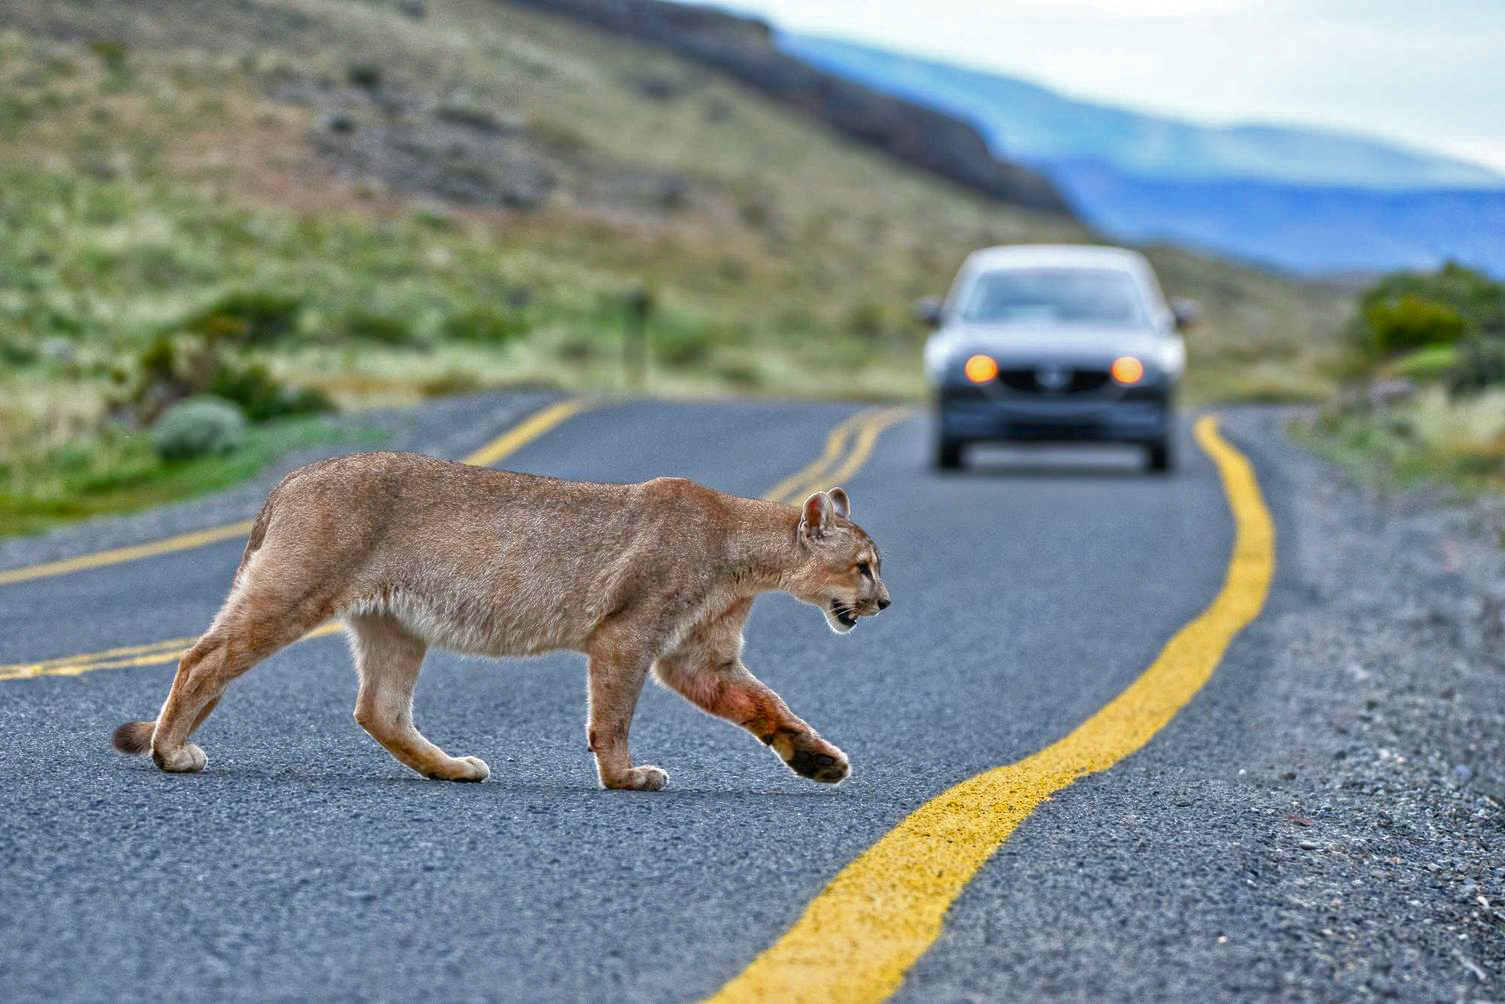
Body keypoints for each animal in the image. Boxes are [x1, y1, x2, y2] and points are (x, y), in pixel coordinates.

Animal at [111, 452, 891, 790]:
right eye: (863, 565)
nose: (885, 603)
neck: (741, 555)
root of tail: (296, 474)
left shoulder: (697, 657)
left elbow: (765, 704)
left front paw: (816, 759)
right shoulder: (627, 634)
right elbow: (612, 714)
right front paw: (623, 777)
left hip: (395, 623)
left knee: (378, 709)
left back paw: (452, 769)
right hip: (294, 593)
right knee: (202, 657)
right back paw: (171, 751)